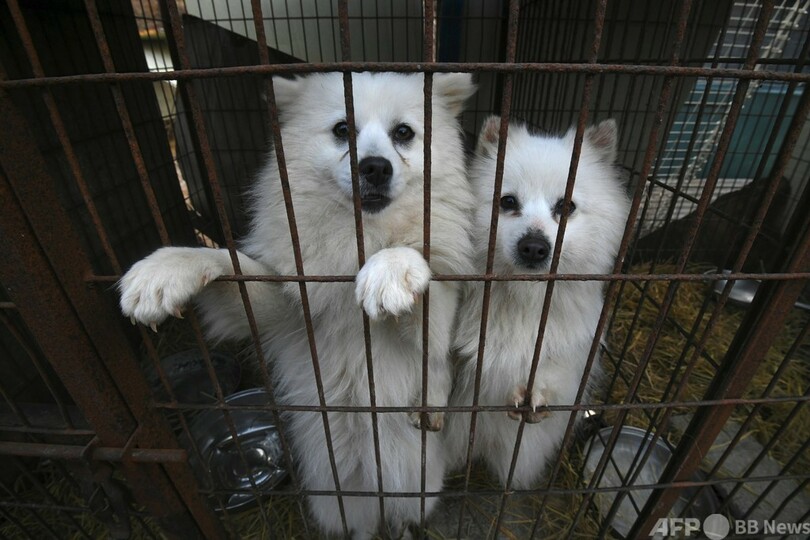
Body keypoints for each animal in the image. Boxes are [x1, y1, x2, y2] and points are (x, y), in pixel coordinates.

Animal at [118, 73, 474, 540]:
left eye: (403, 133)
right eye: (342, 129)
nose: (375, 167)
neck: (361, 237)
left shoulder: (435, 322)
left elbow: (420, 273)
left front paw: (392, 267)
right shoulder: (286, 306)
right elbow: (229, 263)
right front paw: (165, 268)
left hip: (415, 486)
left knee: (402, 510)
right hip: (336, 497)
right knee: (362, 525)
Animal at [442, 117, 624, 490]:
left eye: (565, 207)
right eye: (508, 201)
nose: (534, 247)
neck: (525, 297)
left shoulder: (569, 348)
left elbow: (551, 371)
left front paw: (533, 395)